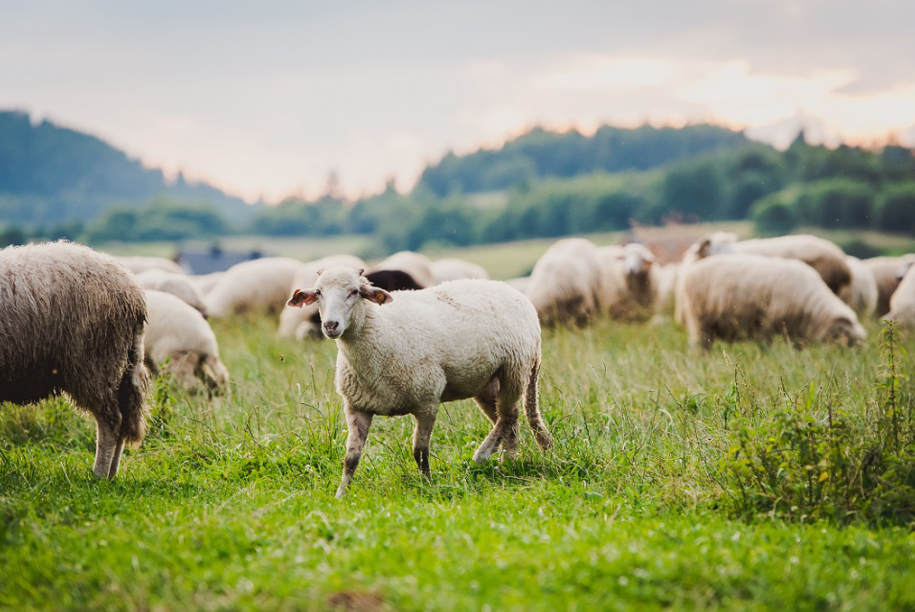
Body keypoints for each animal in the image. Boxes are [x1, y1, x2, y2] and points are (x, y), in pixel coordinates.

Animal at [0, 240, 148, 478]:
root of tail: (133, 292)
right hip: (122, 362)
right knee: (124, 420)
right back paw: (112, 474)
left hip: (94, 361)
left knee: (111, 421)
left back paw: (99, 475)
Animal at [290, 268, 556, 498]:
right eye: (318, 292)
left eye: (355, 291)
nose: (330, 325)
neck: (379, 331)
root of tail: (515, 292)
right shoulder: (357, 406)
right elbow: (351, 458)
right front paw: (341, 495)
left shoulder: (427, 401)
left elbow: (420, 451)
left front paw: (427, 485)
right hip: (487, 382)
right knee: (509, 419)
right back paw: (509, 462)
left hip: (515, 369)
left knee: (507, 416)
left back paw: (482, 454)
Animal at [680, 253, 864, 350]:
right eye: (850, 342)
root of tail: (694, 268)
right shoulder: (769, 323)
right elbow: (765, 345)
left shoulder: (795, 330)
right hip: (701, 321)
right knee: (701, 345)